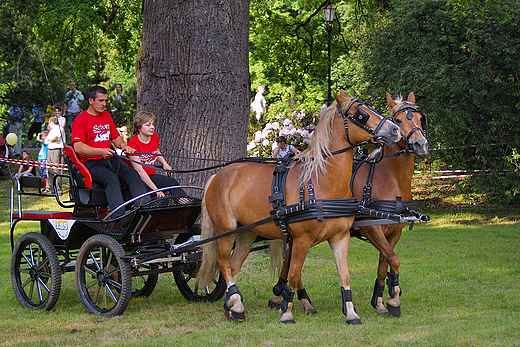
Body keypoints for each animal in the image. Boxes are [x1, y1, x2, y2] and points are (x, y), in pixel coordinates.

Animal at [197, 90, 400, 326]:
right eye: (361, 114)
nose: (395, 130)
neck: (321, 184)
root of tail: (218, 175)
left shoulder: (340, 237)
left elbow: (344, 274)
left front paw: (351, 313)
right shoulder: (302, 239)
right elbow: (293, 274)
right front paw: (286, 311)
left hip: (247, 232)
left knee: (233, 264)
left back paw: (232, 305)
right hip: (226, 230)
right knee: (223, 262)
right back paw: (236, 302)